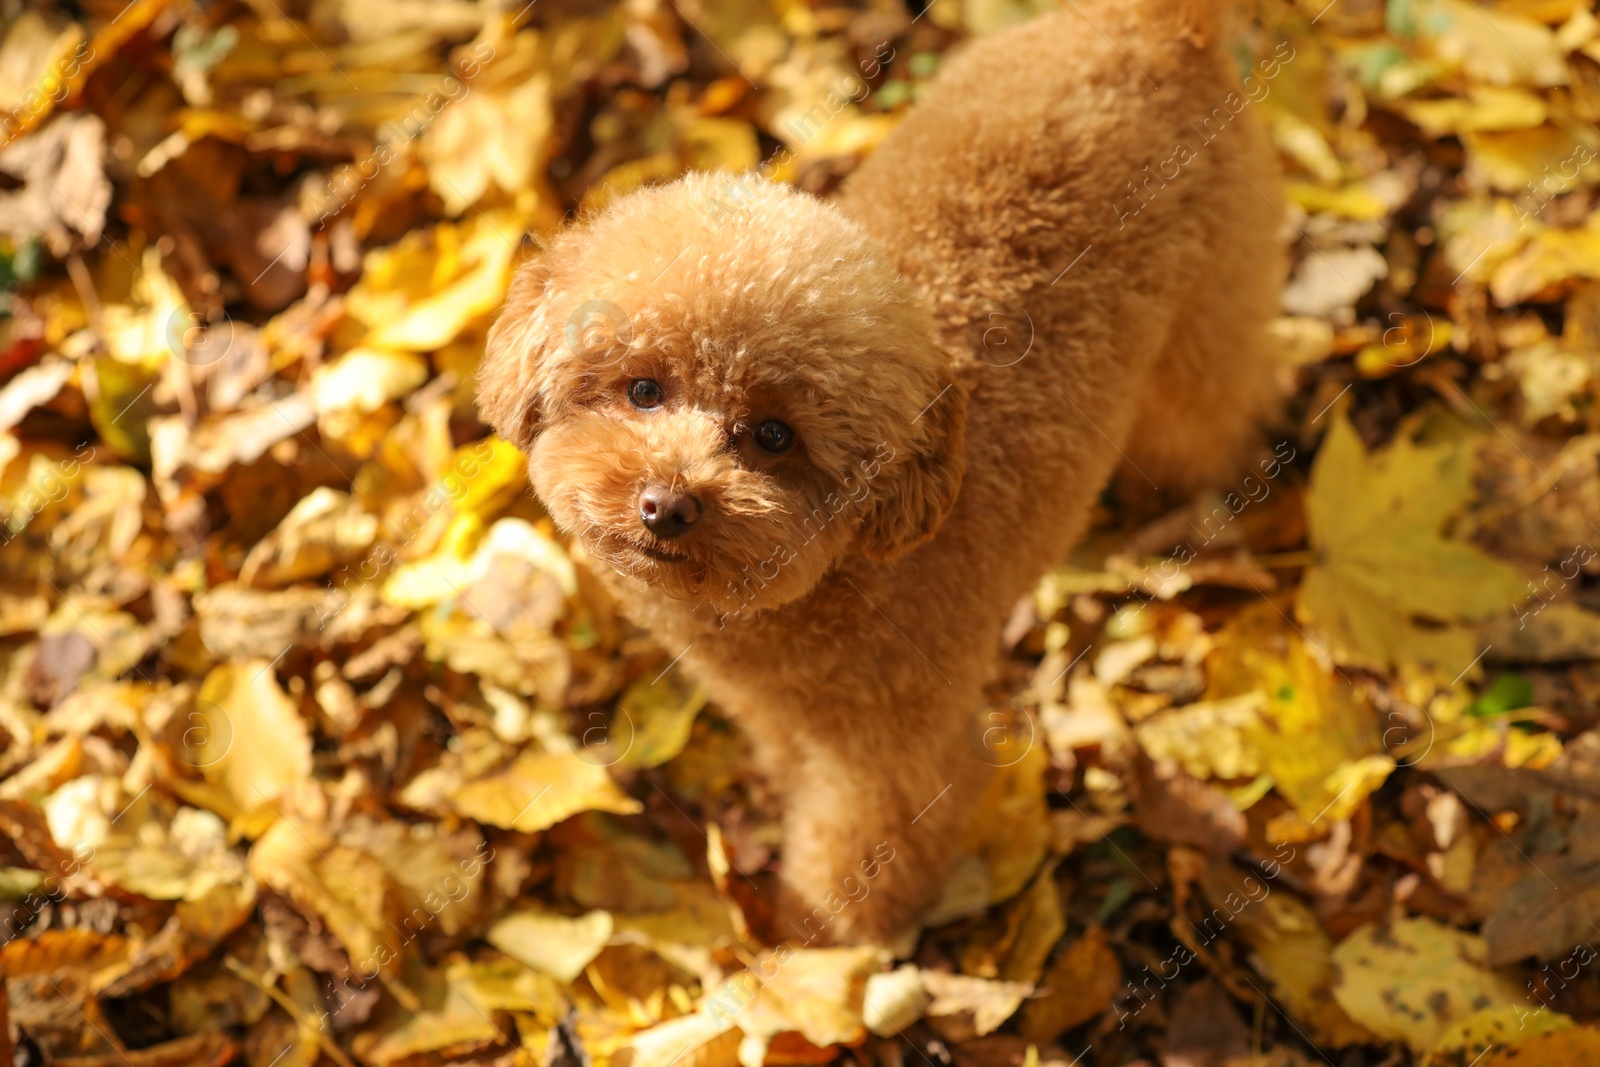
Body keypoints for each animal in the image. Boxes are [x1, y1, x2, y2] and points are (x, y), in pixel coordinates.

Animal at [476, 0, 1286, 947]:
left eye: (775, 436)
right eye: (642, 388)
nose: (666, 505)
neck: (845, 574)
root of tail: (1158, 24)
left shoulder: (897, 753)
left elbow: (864, 845)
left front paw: (824, 943)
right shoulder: (782, 710)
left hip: (1210, 317)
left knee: (1217, 410)